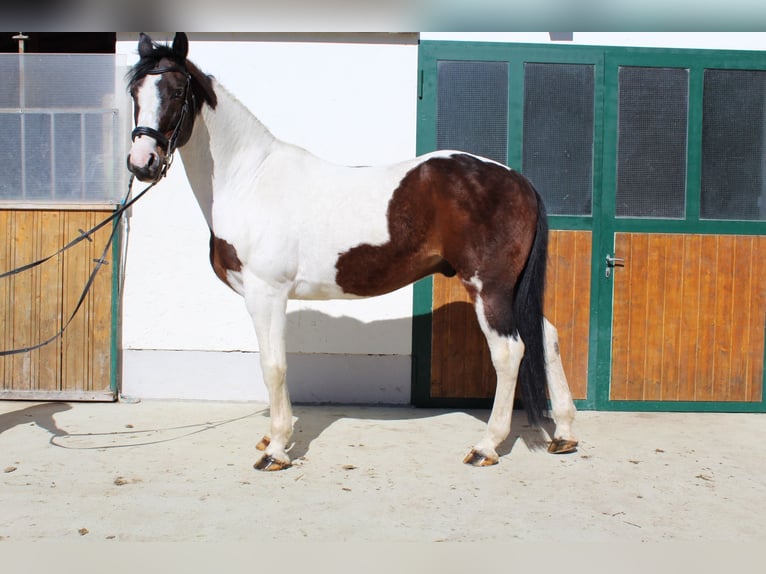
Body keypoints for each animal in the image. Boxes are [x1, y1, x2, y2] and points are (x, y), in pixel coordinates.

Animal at [126, 32, 578, 471]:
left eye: (177, 90)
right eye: (134, 91)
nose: (142, 162)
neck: (249, 178)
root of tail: (517, 179)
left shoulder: (266, 292)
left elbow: (273, 366)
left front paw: (276, 449)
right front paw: (274, 437)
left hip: (488, 288)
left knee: (509, 351)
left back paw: (487, 446)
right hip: (509, 290)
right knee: (546, 337)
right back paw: (564, 435)